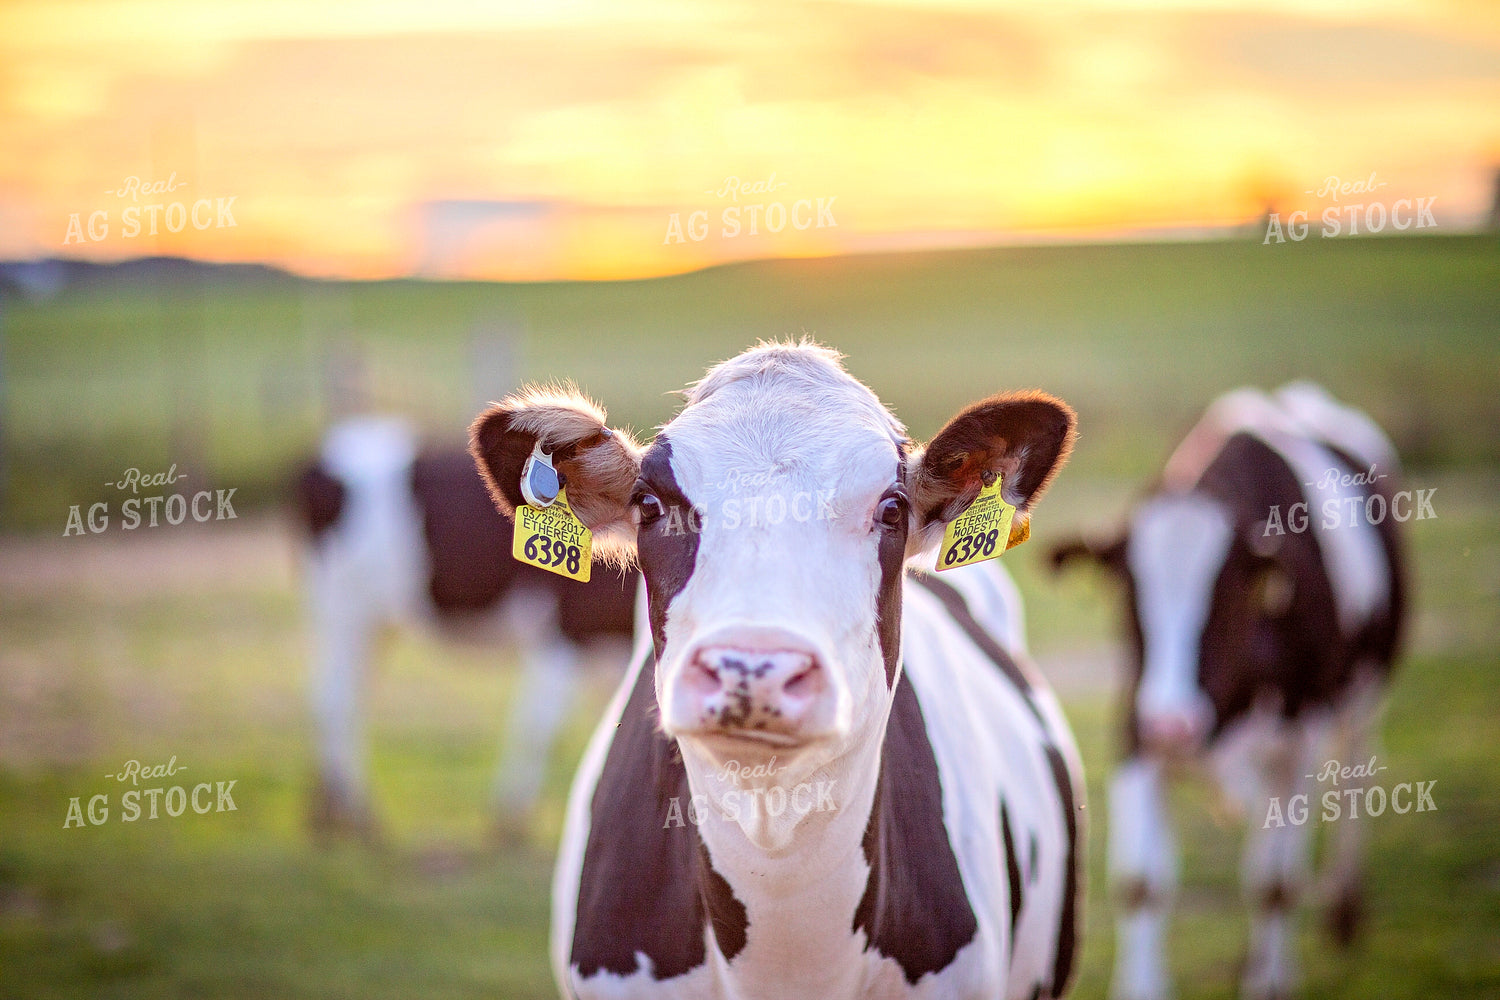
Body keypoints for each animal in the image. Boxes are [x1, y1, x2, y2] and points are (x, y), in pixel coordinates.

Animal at [293, 416, 637, 841]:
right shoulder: (564, 630)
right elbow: (538, 724)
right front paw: (510, 815)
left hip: (371, 621)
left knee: (352, 693)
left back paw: (328, 808)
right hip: (343, 610)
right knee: (335, 698)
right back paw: (354, 811)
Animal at [1050, 383, 1408, 1000]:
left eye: (1230, 593)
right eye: (1127, 591)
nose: (1174, 725)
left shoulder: (1295, 746)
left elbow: (1274, 884)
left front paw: (1269, 982)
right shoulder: (1134, 730)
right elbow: (1141, 882)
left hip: (1360, 702)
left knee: (1351, 782)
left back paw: (1340, 915)